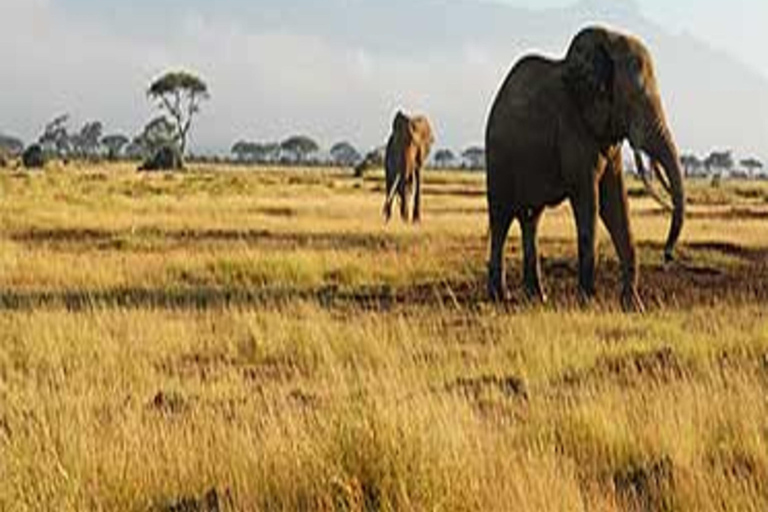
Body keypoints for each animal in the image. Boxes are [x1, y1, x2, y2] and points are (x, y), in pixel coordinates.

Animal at [484, 27, 688, 312]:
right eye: (632, 100)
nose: (667, 255)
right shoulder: (573, 126)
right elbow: (589, 200)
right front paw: (589, 302)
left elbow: (615, 202)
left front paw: (633, 306)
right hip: (498, 158)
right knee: (501, 217)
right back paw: (501, 297)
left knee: (531, 218)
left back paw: (537, 297)